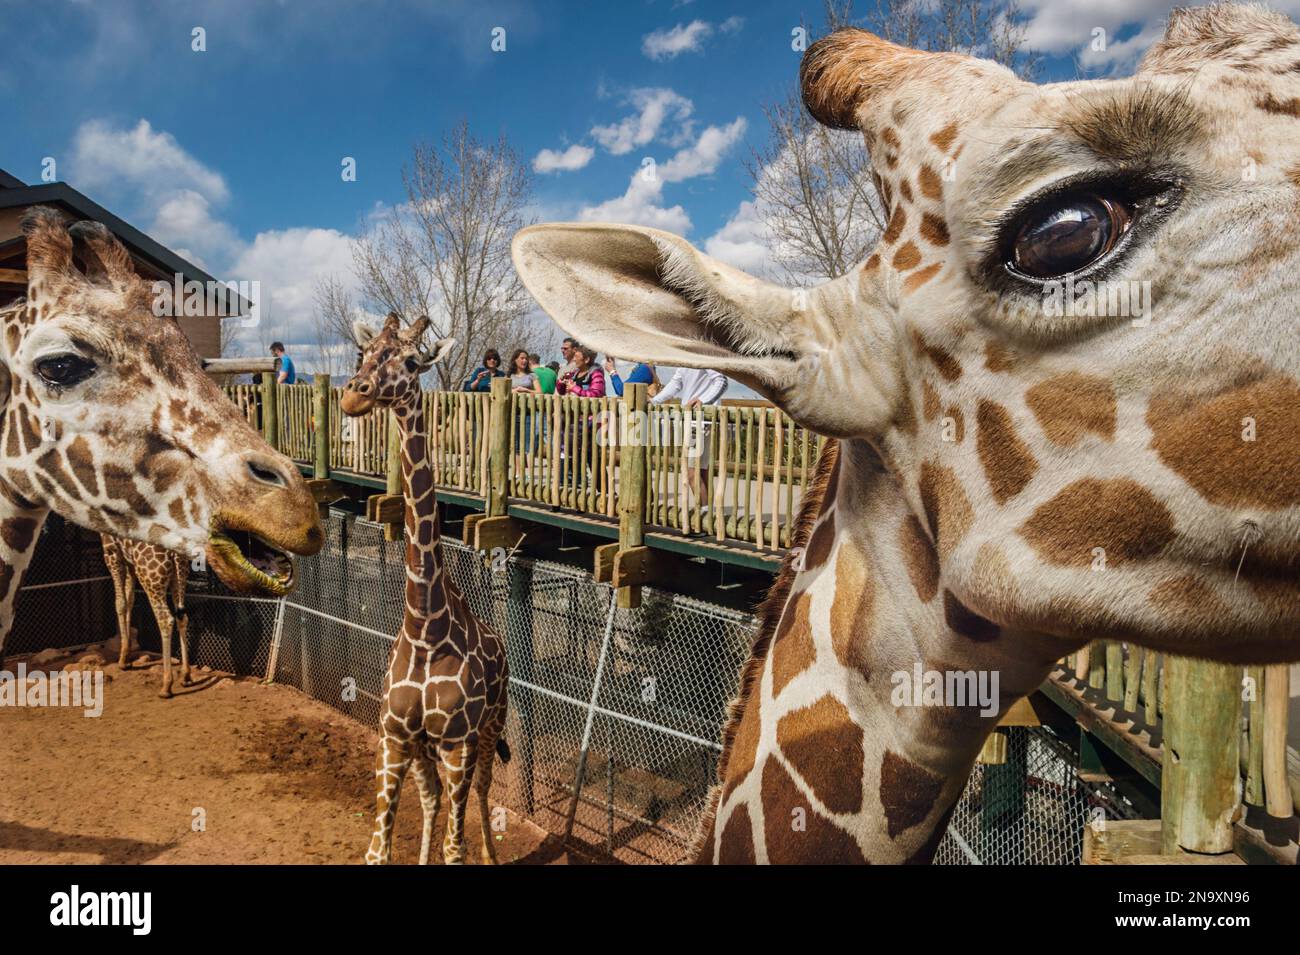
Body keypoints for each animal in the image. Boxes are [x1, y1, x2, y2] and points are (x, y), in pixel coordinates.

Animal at [101, 535, 191, 696]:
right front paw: (126, 657)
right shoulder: (129, 561)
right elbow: (130, 600)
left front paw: (122, 660)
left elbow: (120, 603)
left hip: (150, 578)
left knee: (166, 619)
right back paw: (186, 676)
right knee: (182, 617)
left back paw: (166, 685)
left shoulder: (112, 550)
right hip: (179, 574)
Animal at [343, 314, 509, 867]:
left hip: (490, 727)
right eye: (365, 352)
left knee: (480, 791)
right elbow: (378, 850)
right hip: (424, 749)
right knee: (434, 796)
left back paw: (491, 855)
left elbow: (455, 848)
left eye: (413, 361)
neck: (424, 627)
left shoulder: (458, 742)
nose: (354, 395)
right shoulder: (394, 737)